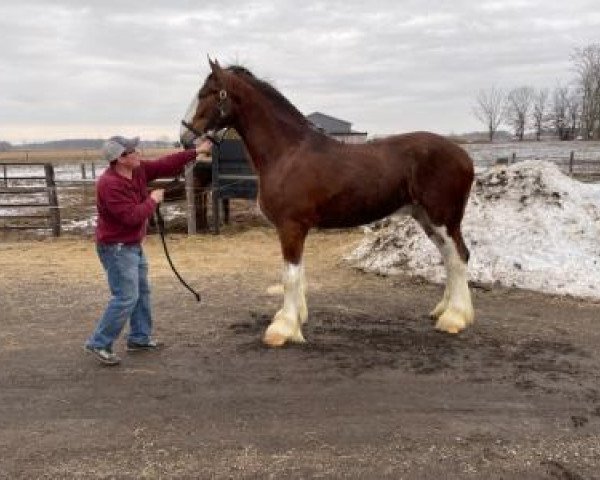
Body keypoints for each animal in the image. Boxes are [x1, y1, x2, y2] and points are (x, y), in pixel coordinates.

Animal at [180, 59, 476, 344]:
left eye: (207, 93)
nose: (185, 137)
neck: (287, 152)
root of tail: (464, 156)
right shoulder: (296, 229)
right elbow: (297, 274)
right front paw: (293, 317)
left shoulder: (290, 227)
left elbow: (290, 276)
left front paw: (283, 329)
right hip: (427, 218)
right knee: (449, 258)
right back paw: (444, 311)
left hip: (443, 218)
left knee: (459, 257)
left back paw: (454, 318)